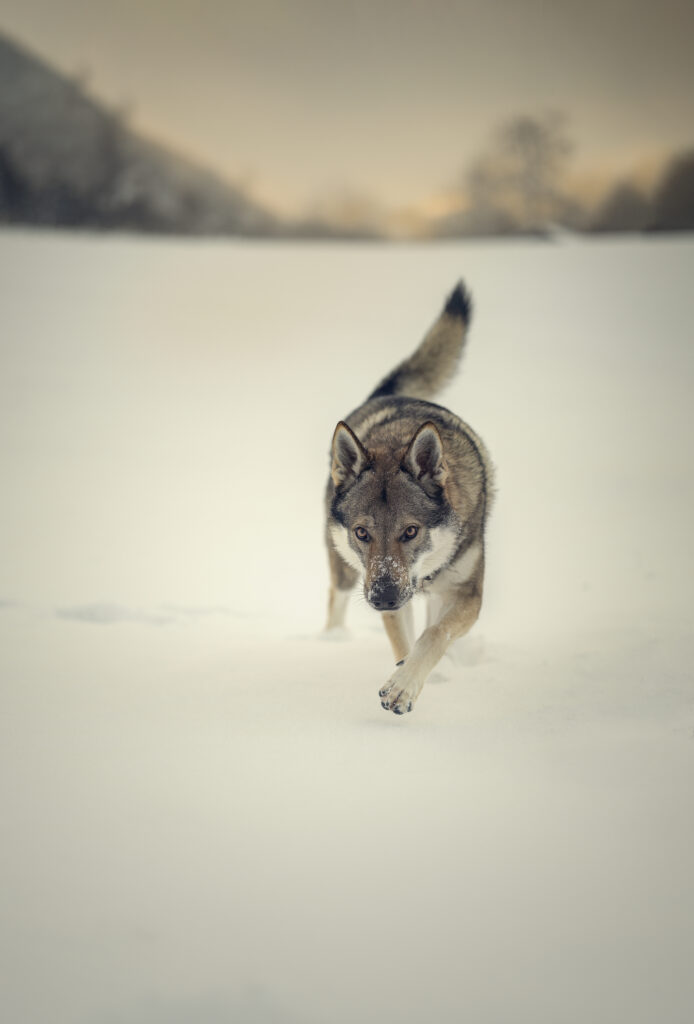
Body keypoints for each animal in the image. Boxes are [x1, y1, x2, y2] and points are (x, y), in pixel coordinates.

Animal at [325, 280, 495, 712]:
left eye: (411, 531)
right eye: (362, 533)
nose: (383, 598)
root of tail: (384, 394)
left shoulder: (468, 594)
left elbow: (433, 635)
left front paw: (405, 683)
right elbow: (404, 641)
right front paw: (402, 680)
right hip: (343, 569)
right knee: (335, 598)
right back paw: (331, 641)